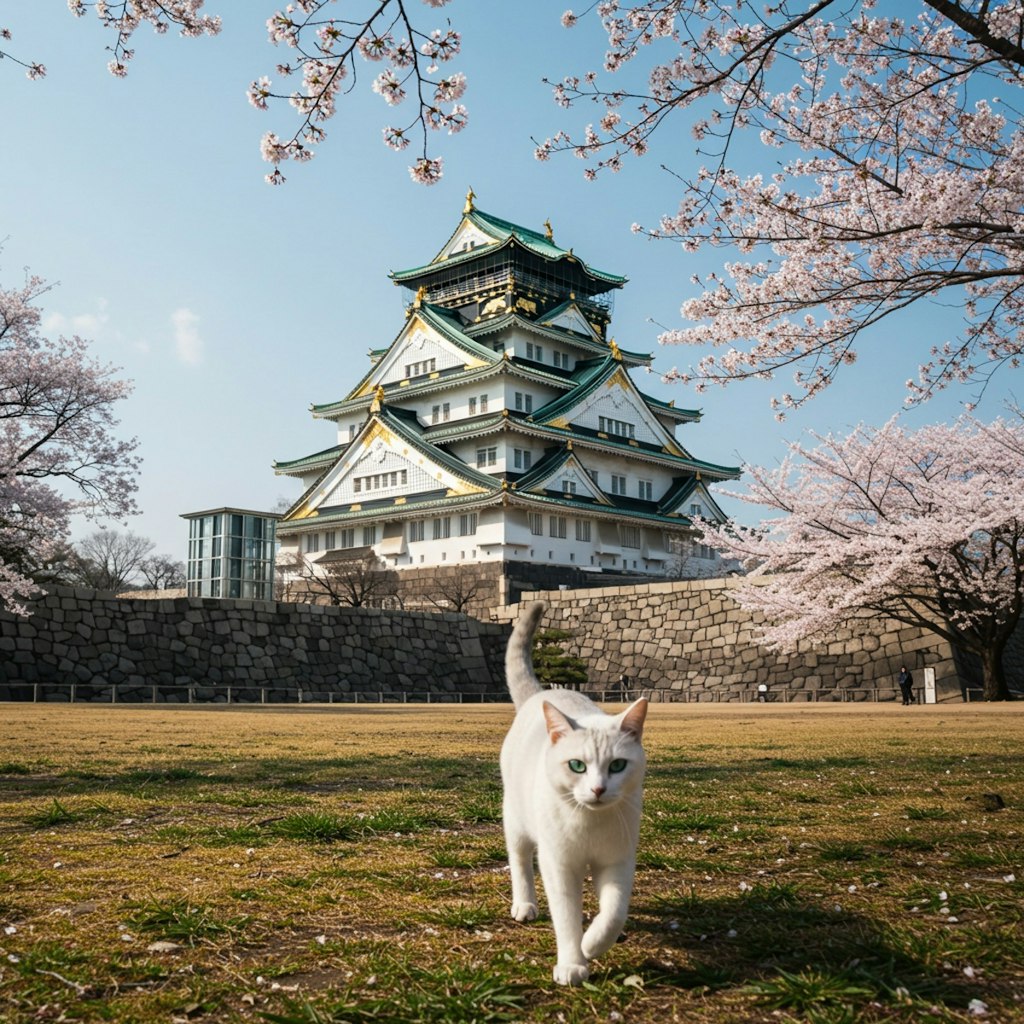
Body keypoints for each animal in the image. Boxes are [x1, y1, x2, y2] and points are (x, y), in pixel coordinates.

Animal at [501, 598, 651, 983]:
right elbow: (566, 916)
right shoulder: (559, 864)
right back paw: (524, 904)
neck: (590, 824)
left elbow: (613, 912)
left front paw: (594, 943)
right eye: (577, 766)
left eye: (617, 766)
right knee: (520, 861)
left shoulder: (617, 859)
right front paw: (573, 962)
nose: (598, 789)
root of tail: (545, 692)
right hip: (517, 823)